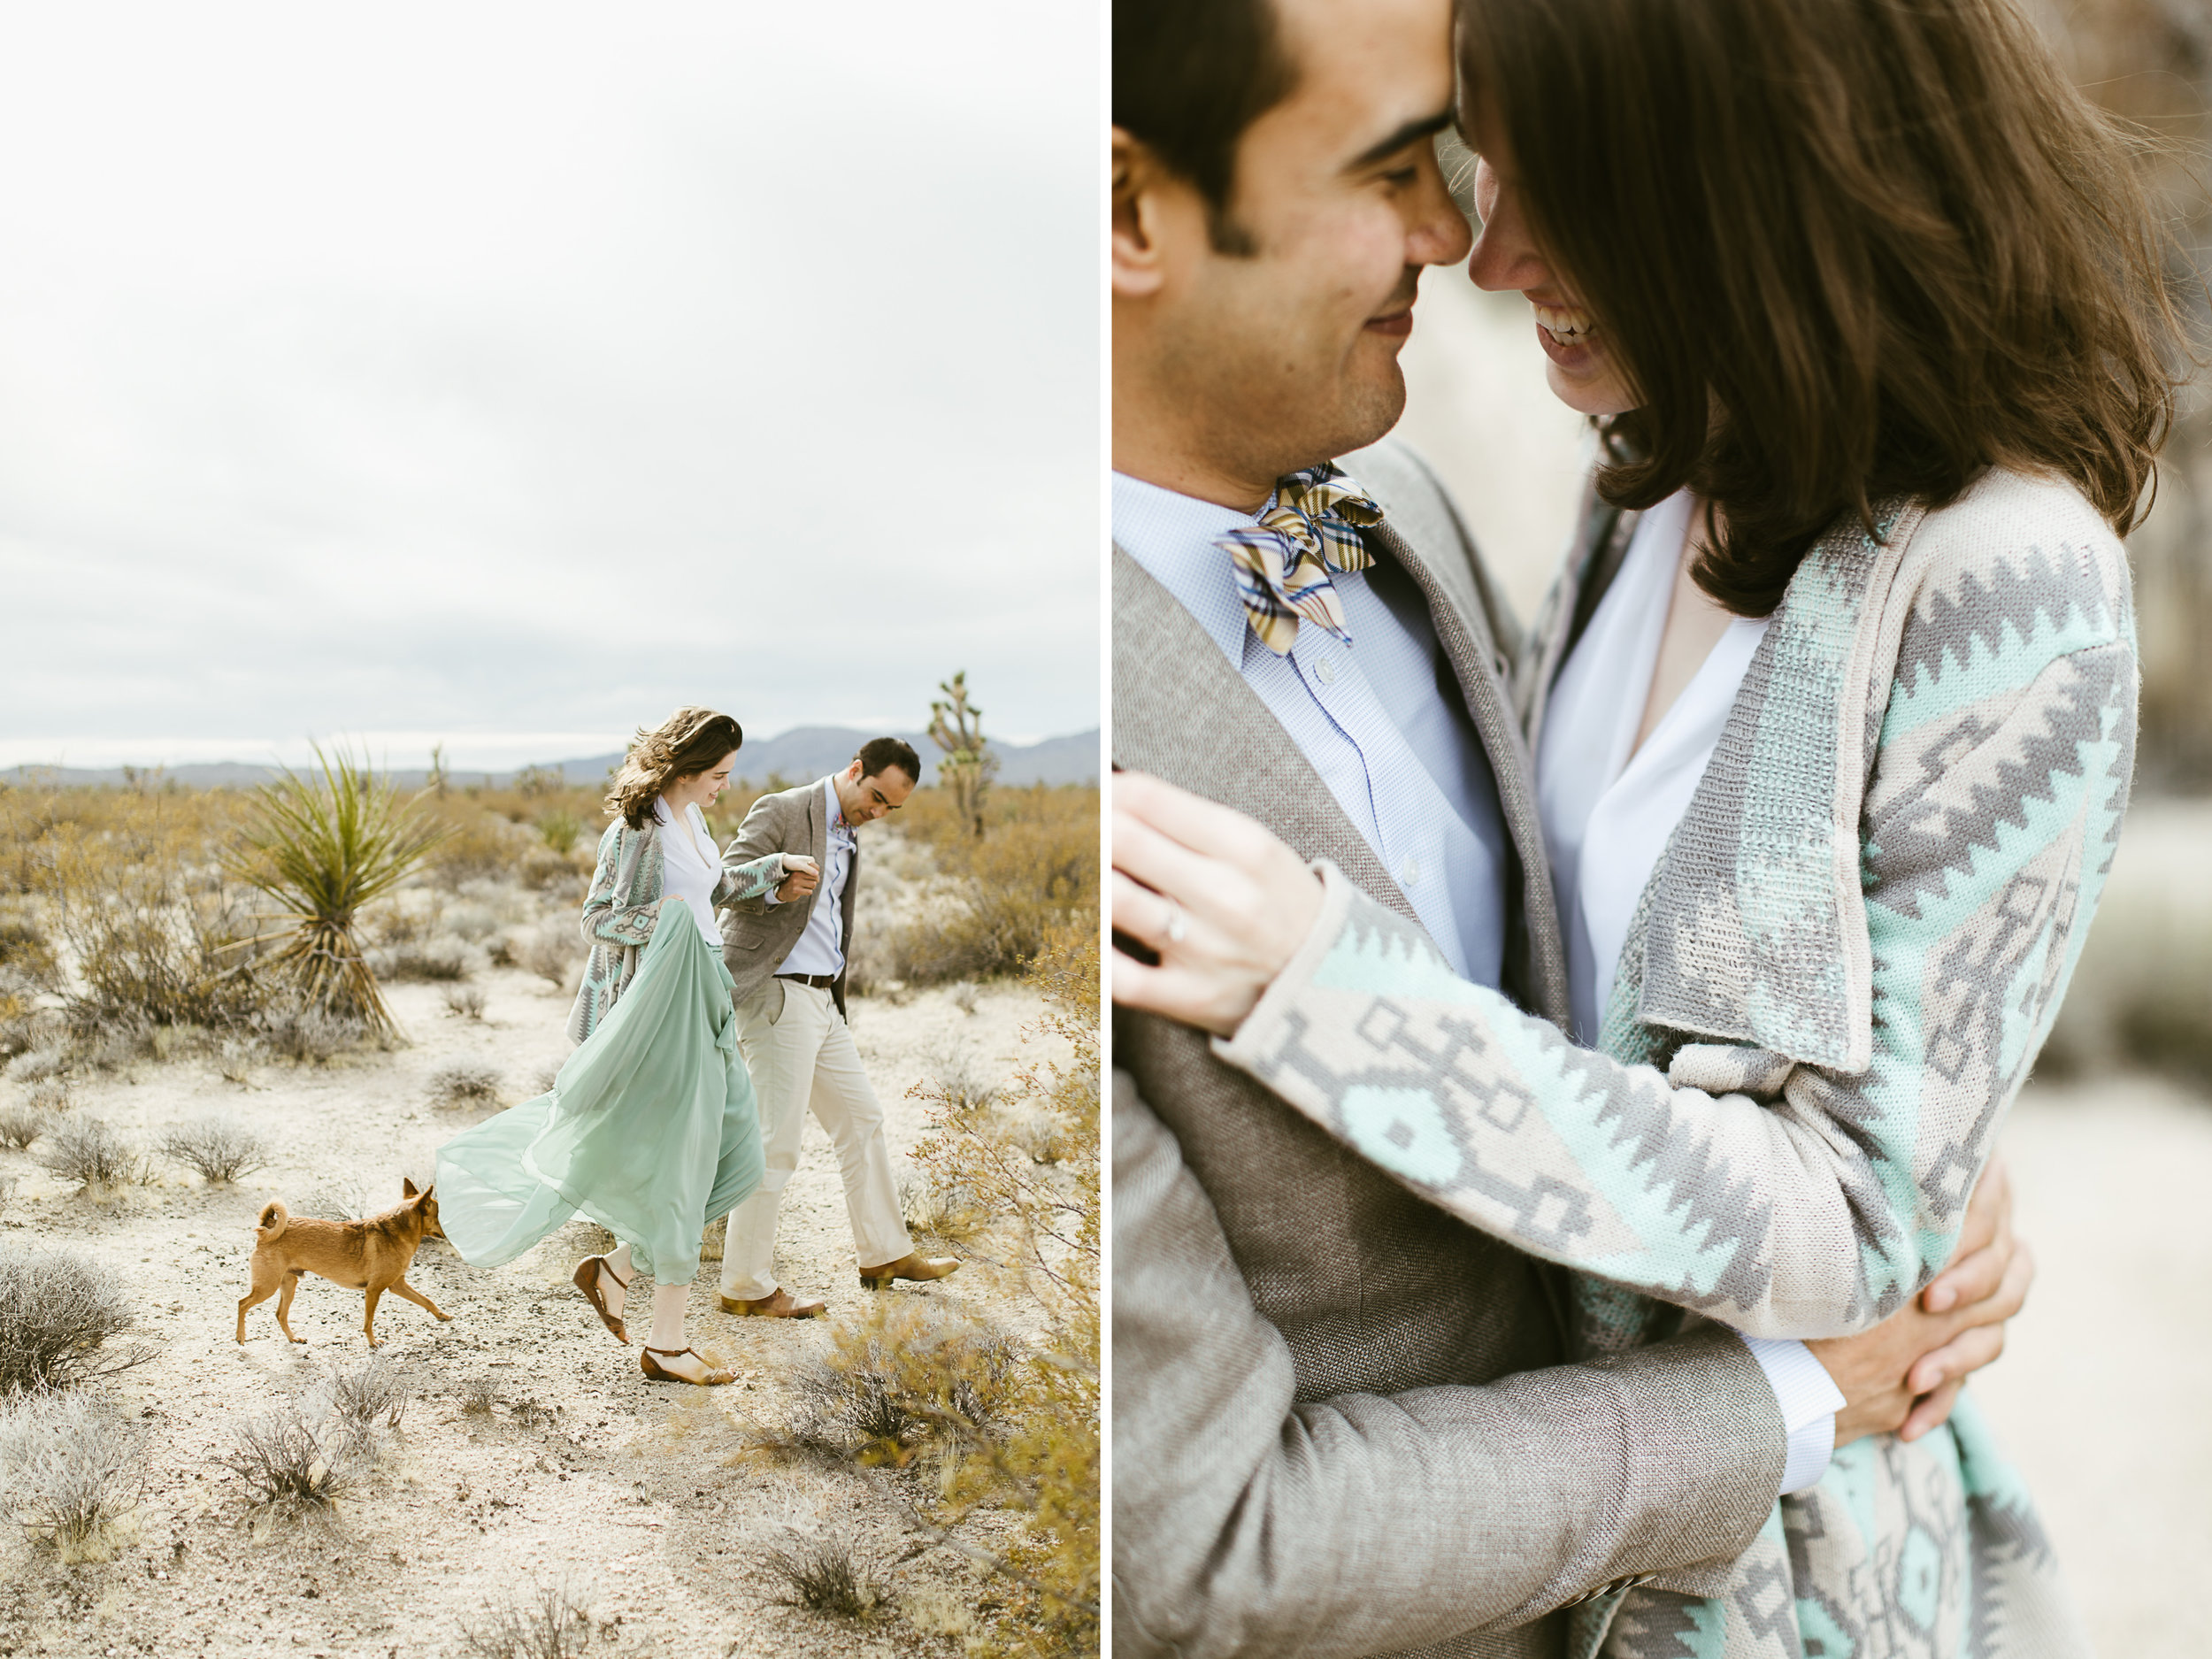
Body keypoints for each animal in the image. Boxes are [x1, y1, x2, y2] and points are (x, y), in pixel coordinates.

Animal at [237, 1186, 453, 1354]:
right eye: (440, 1216)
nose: (453, 1233)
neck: (396, 1232)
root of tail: (269, 1224)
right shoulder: (374, 1290)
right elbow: (368, 1323)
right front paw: (373, 1342)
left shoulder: (397, 1285)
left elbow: (426, 1300)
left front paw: (442, 1315)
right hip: (268, 1287)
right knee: (242, 1304)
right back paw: (240, 1337)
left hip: (288, 1285)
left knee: (280, 1314)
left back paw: (293, 1338)